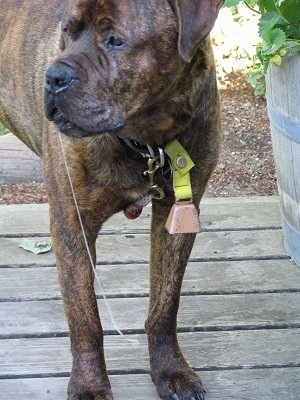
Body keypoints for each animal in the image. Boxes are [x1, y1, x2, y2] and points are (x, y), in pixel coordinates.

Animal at [0, 0, 224, 400]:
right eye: (68, 32)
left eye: (115, 40)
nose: (53, 77)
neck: (149, 138)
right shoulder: (72, 223)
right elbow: (85, 316)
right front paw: (89, 386)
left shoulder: (178, 216)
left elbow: (165, 304)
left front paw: (171, 370)